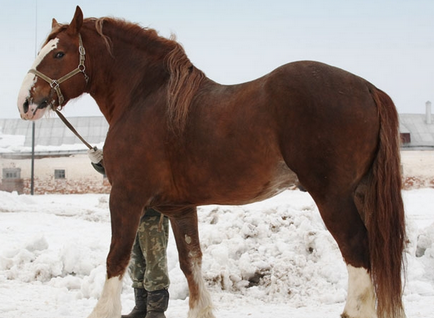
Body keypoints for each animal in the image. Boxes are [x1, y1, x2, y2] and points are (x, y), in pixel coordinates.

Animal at [17, 6, 406, 318]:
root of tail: (368, 88)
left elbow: (117, 257)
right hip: (360, 195)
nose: (25, 102)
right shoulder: (179, 208)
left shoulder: (127, 198)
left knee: (357, 251)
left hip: (333, 197)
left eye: (59, 53)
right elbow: (191, 262)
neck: (146, 98)